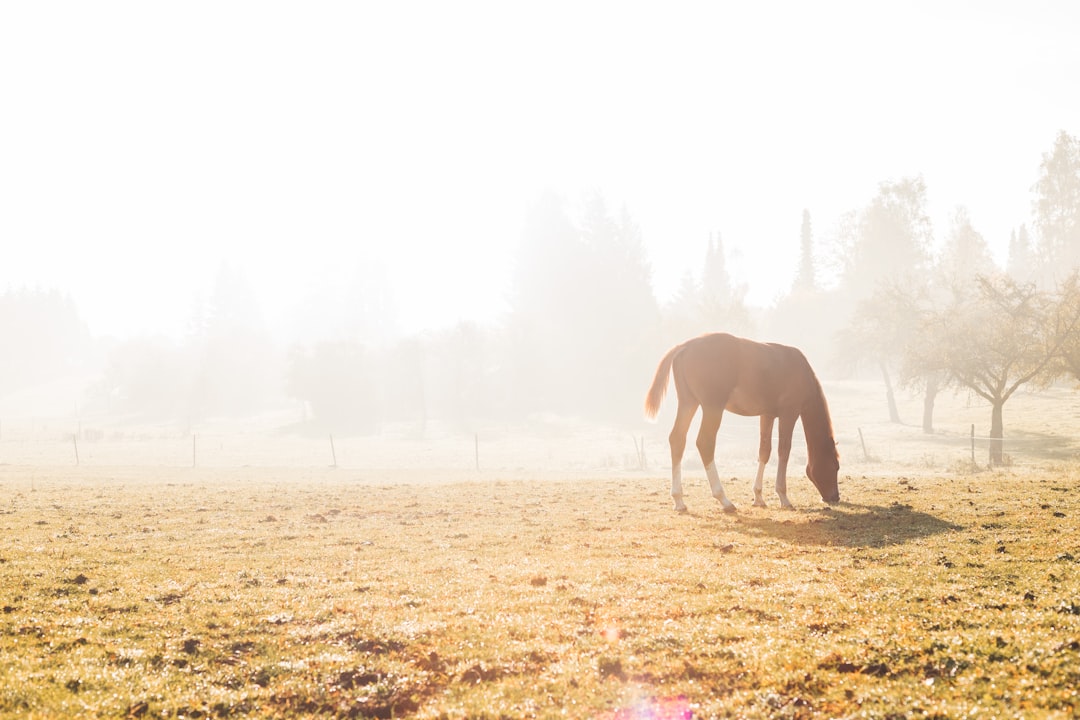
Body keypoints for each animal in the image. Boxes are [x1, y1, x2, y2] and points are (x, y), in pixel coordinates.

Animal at [643, 332, 838, 511]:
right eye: (836, 466)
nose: (835, 497)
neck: (800, 370)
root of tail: (685, 346)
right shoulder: (789, 414)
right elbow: (784, 451)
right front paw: (783, 497)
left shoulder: (767, 415)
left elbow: (764, 451)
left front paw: (758, 496)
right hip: (712, 408)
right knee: (705, 442)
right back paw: (723, 499)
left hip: (688, 403)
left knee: (677, 439)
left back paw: (679, 500)